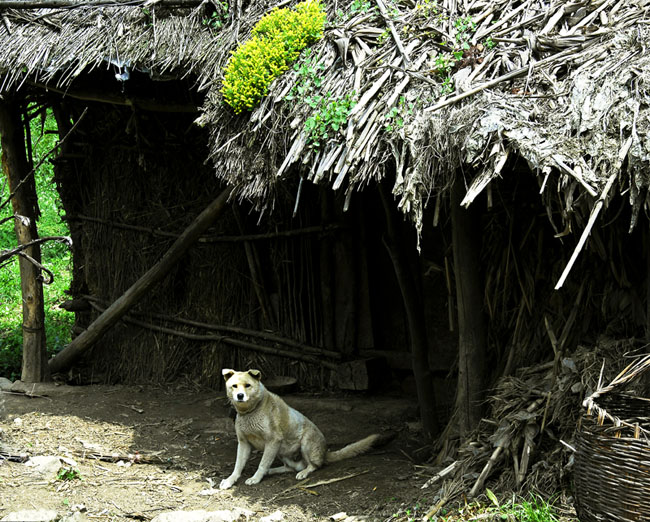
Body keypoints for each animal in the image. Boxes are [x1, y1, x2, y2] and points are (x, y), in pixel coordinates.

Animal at [219, 366, 380, 488]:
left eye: (248, 385)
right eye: (234, 386)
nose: (240, 396)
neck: (251, 411)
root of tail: (325, 453)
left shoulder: (273, 441)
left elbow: (262, 464)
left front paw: (255, 478)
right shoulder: (244, 442)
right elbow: (238, 465)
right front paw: (230, 480)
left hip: (305, 443)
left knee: (313, 466)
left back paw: (303, 472)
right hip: (282, 452)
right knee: (292, 467)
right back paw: (273, 471)